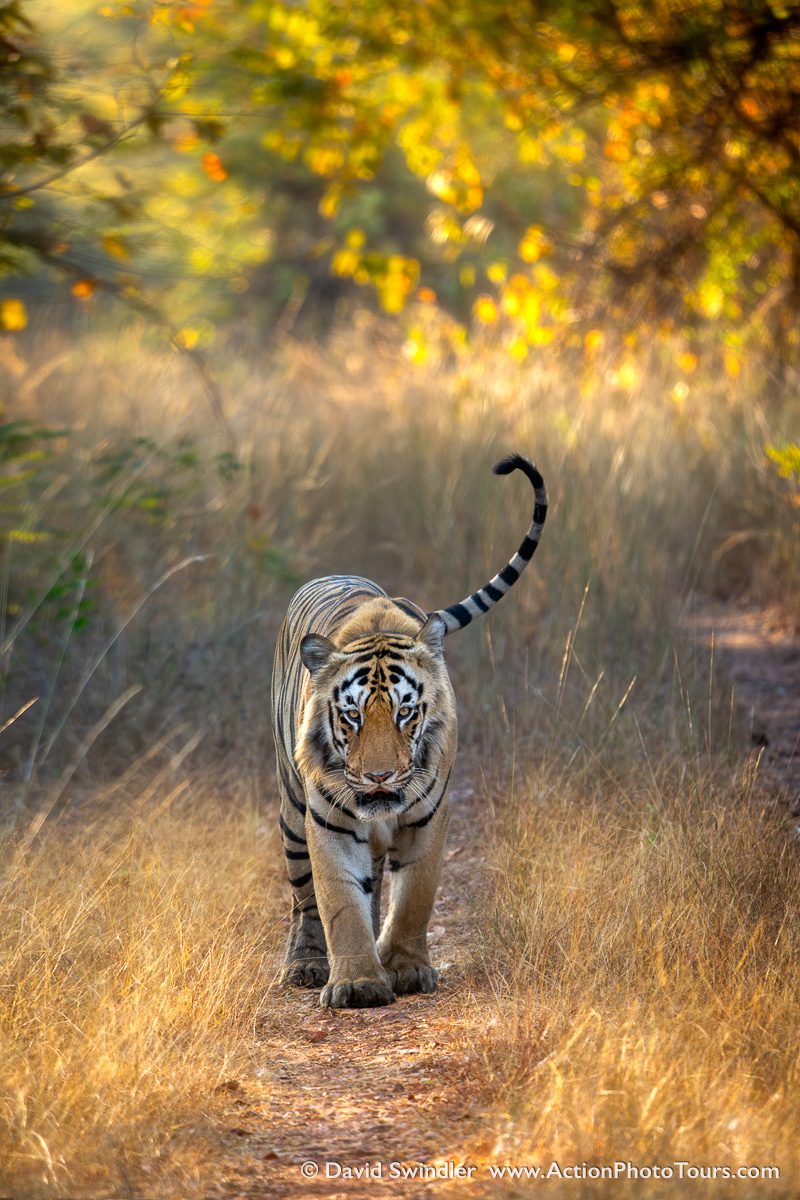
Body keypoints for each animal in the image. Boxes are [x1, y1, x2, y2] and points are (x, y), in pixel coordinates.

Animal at [271, 453, 547, 1008]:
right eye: (352, 716)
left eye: (405, 713)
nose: (379, 777)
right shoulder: (327, 820)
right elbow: (337, 901)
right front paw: (356, 982)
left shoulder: (428, 814)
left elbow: (414, 896)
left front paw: (404, 969)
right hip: (291, 812)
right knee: (303, 899)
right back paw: (306, 964)